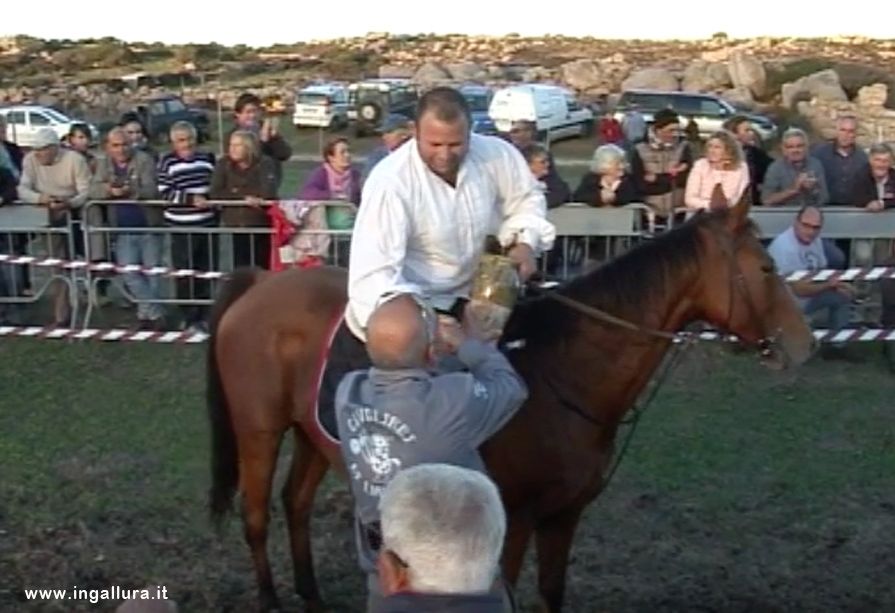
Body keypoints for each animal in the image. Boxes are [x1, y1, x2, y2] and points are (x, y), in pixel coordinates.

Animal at [206, 197, 816, 612]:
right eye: (766, 268)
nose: (803, 344)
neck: (560, 371)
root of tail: (260, 281)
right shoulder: (515, 522)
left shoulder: (563, 517)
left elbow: (550, 594)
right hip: (260, 431)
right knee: (257, 515)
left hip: (312, 435)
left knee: (295, 504)